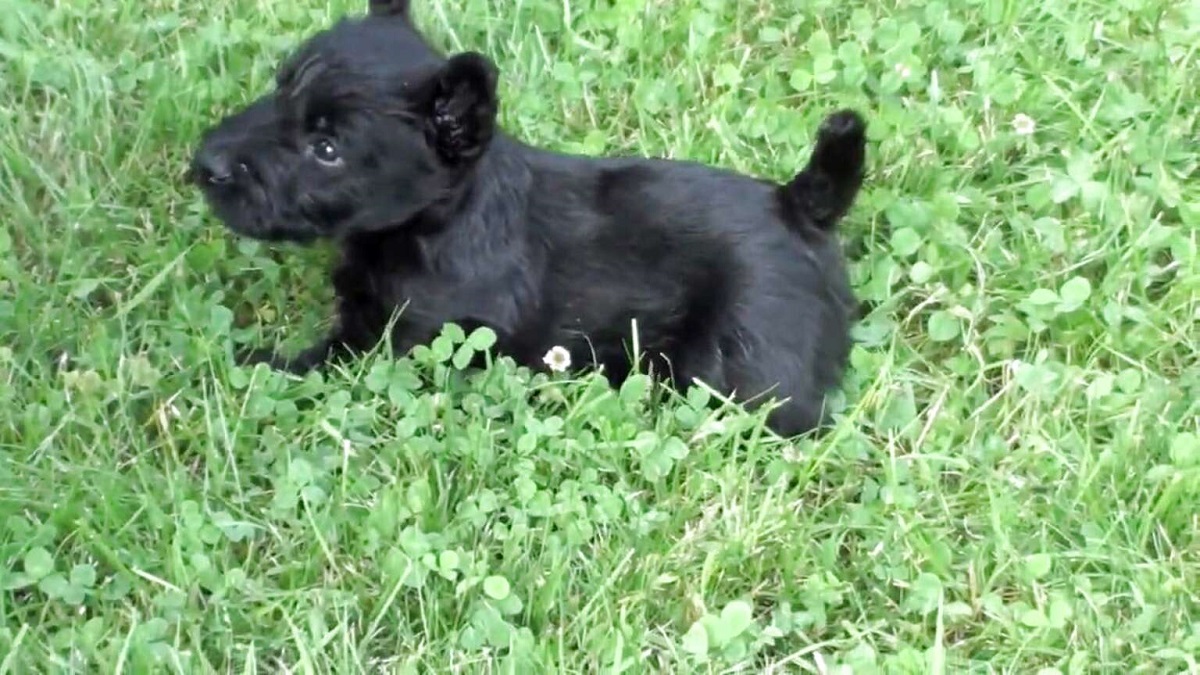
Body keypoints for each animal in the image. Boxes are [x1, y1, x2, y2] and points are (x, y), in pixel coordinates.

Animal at [192, 0, 868, 432]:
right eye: (279, 88)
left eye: (327, 148)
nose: (205, 164)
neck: (440, 221)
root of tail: (800, 204)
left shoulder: (400, 342)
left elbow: (323, 365)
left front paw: (254, 365)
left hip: (741, 372)